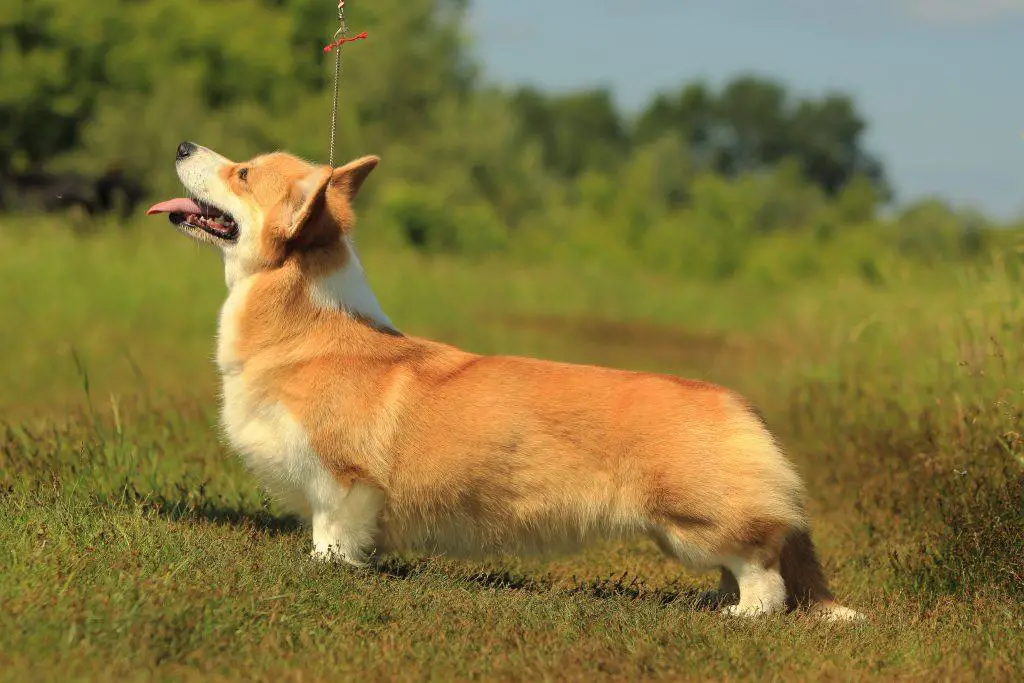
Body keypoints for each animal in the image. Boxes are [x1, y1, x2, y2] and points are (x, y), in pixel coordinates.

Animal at [146, 141, 864, 622]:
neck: (306, 325)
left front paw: (324, 571)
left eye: (241, 173)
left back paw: (741, 616)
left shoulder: (343, 480)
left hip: (698, 524)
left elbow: (332, 532)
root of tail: (740, 407)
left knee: (763, 573)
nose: (182, 145)